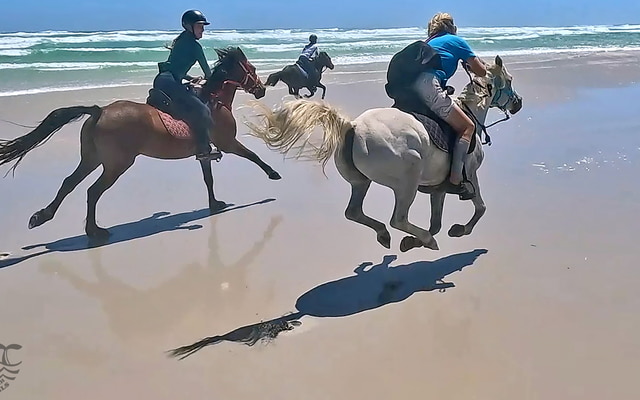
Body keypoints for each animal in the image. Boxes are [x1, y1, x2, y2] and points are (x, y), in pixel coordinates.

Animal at [0, 47, 280, 241]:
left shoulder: (204, 152)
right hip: (117, 164)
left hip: (92, 158)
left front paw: (214, 205)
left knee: (69, 183)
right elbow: (253, 156)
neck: (214, 100)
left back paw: (42, 217)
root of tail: (99, 111)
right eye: (252, 68)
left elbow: (208, 179)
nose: (261, 90)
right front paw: (273, 174)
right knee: (92, 191)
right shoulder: (228, 142)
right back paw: (95, 231)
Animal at [246, 55, 522, 252]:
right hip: (408, 178)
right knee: (398, 218)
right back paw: (419, 239)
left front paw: (416, 241)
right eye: (509, 80)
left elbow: (437, 222)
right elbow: (480, 207)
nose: (518, 104)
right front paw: (458, 230)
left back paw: (386, 235)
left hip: (360, 182)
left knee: (354, 212)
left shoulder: (439, 188)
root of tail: (352, 126)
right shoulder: (470, 173)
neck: (470, 112)